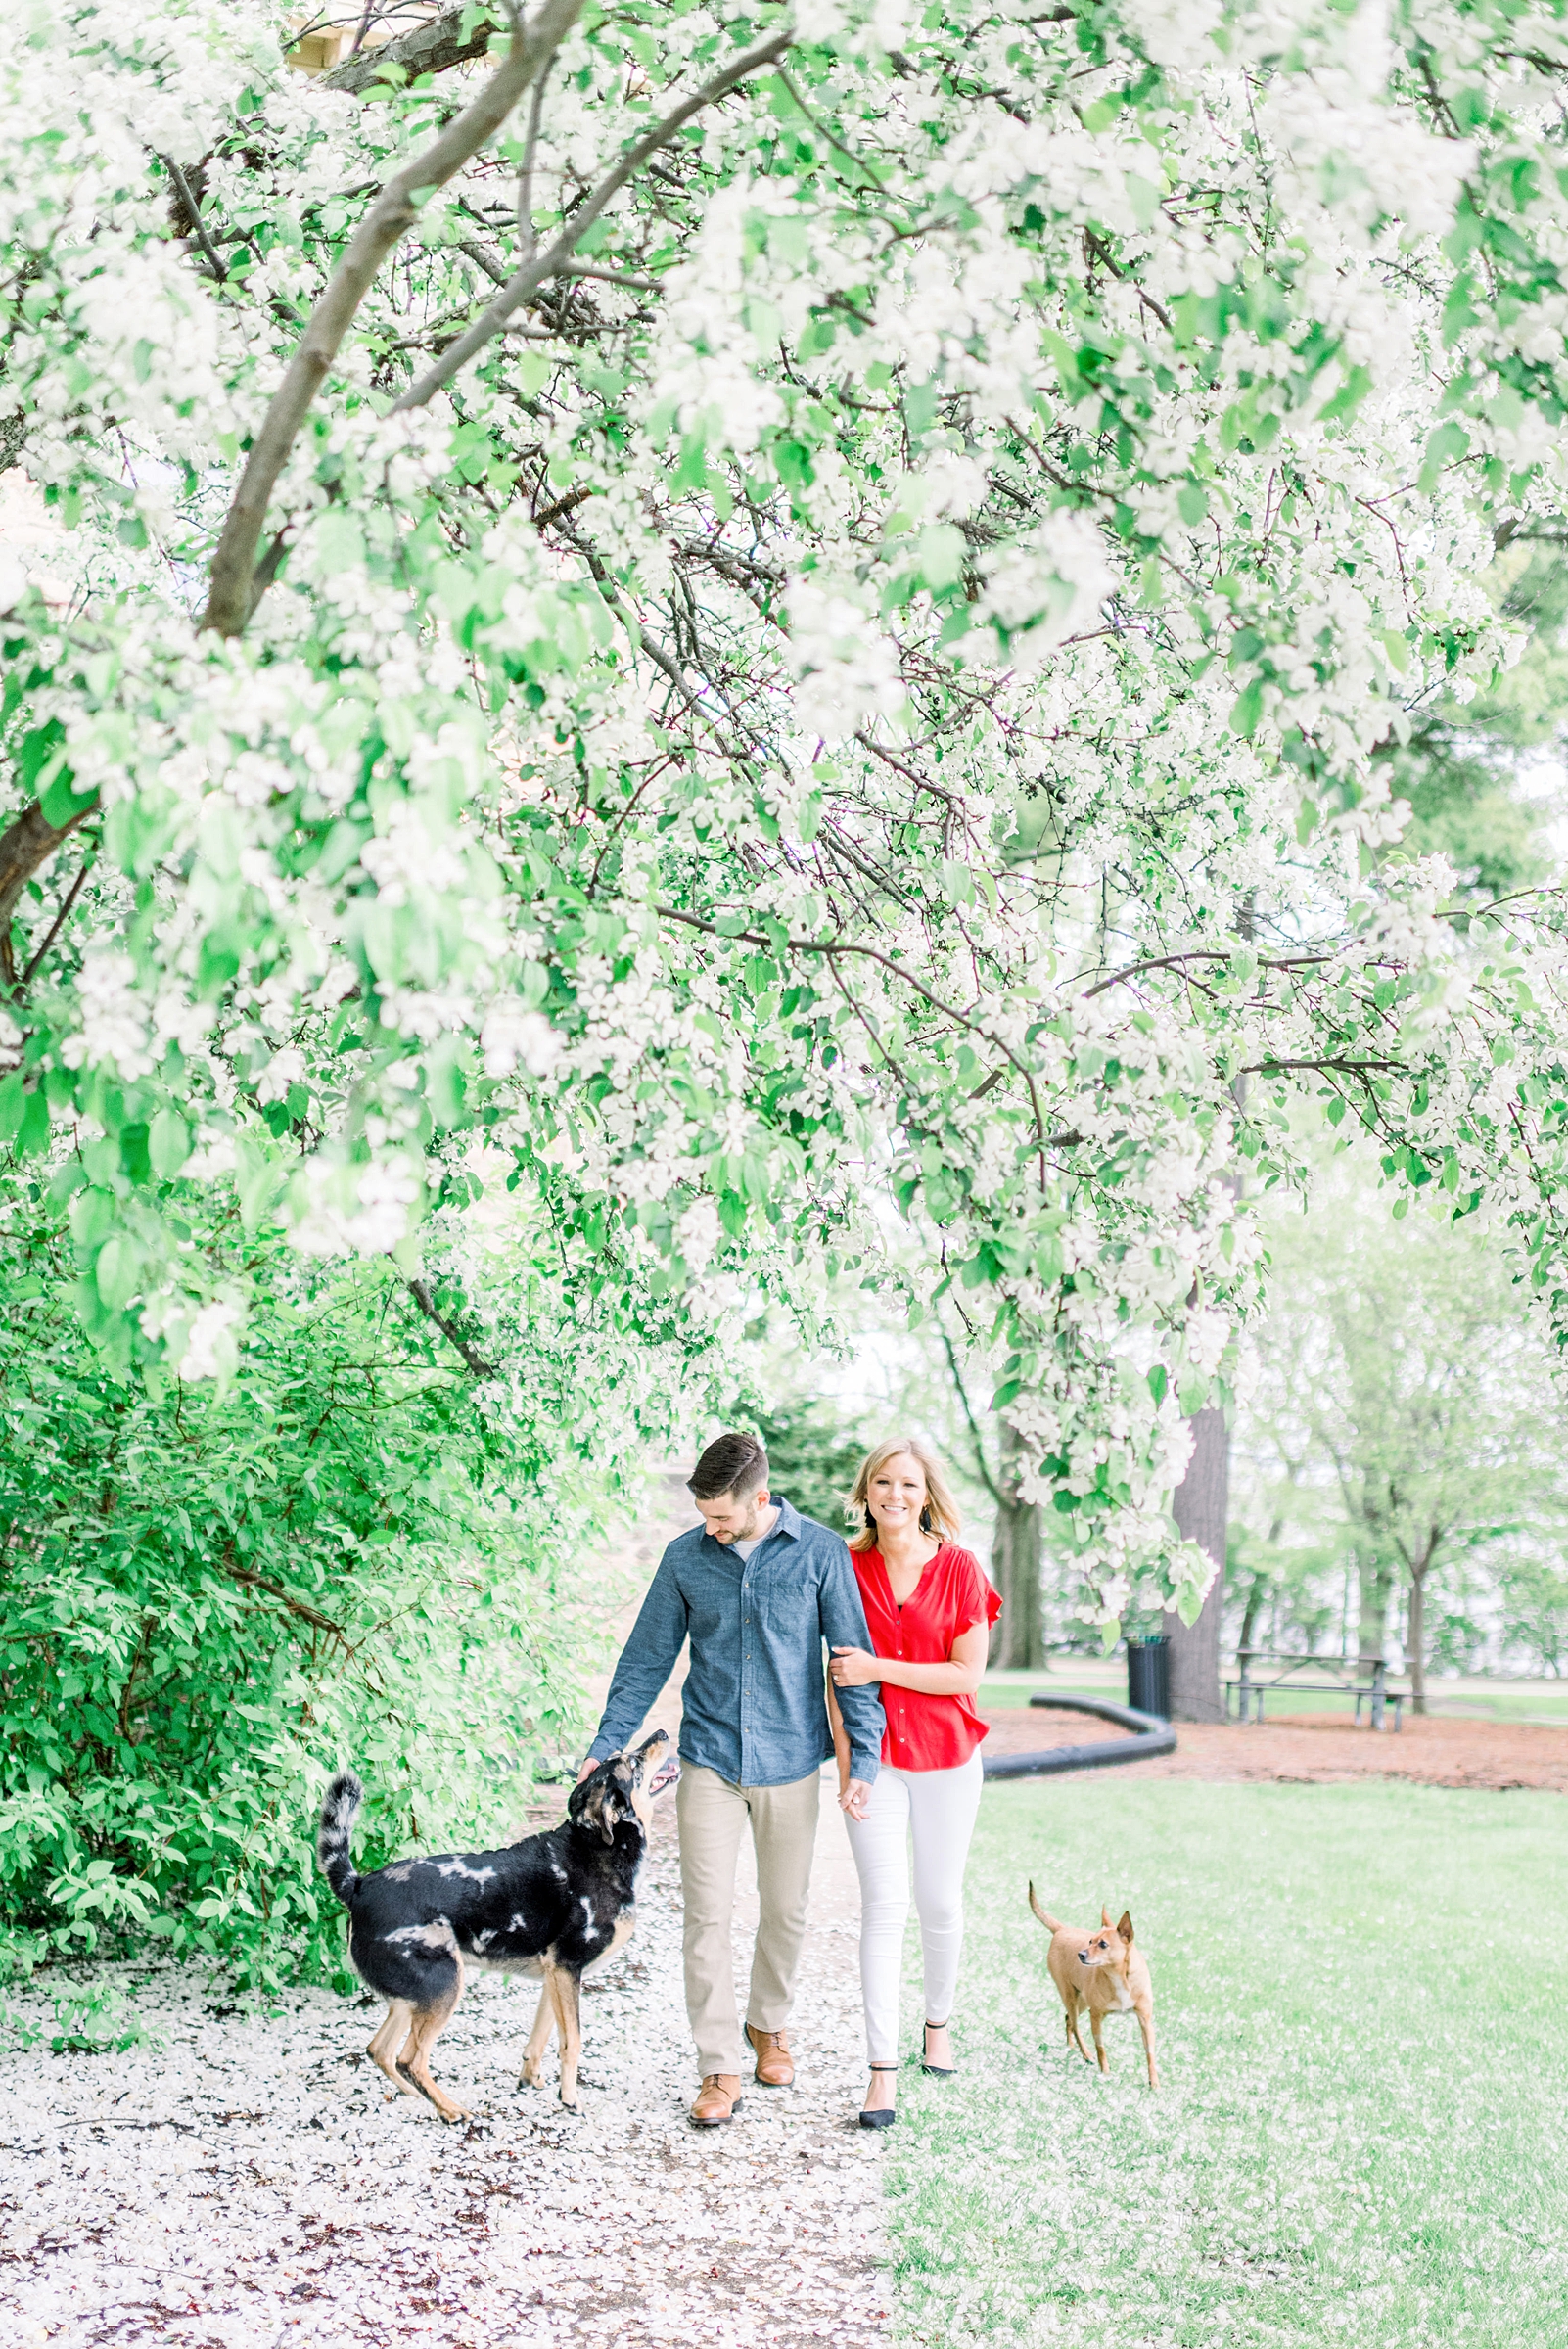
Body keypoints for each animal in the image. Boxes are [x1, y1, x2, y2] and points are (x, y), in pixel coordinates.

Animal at [319, 1728, 675, 2133]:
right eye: (633, 1761)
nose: (662, 1732)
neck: (598, 1847)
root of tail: (358, 1885)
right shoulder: (568, 1969)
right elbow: (572, 2042)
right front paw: (570, 2099)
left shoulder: (556, 1976)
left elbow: (541, 2037)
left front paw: (532, 2080)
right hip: (443, 1987)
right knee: (411, 2059)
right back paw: (450, 2109)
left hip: (411, 1999)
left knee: (380, 2051)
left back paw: (416, 2096)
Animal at [1028, 1879, 1150, 2086]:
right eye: (1090, 1941)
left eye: (1103, 1945)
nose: (1081, 1954)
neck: (1119, 1976)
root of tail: (1061, 1930)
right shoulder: (1096, 2016)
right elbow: (1101, 2048)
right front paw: (1105, 2073)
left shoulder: (1145, 2019)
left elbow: (1150, 2054)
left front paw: (1155, 2085)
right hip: (1070, 1996)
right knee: (1075, 2025)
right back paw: (1086, 2055)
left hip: (1082, 2000)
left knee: (1068, 2019)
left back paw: (1070, 2047)